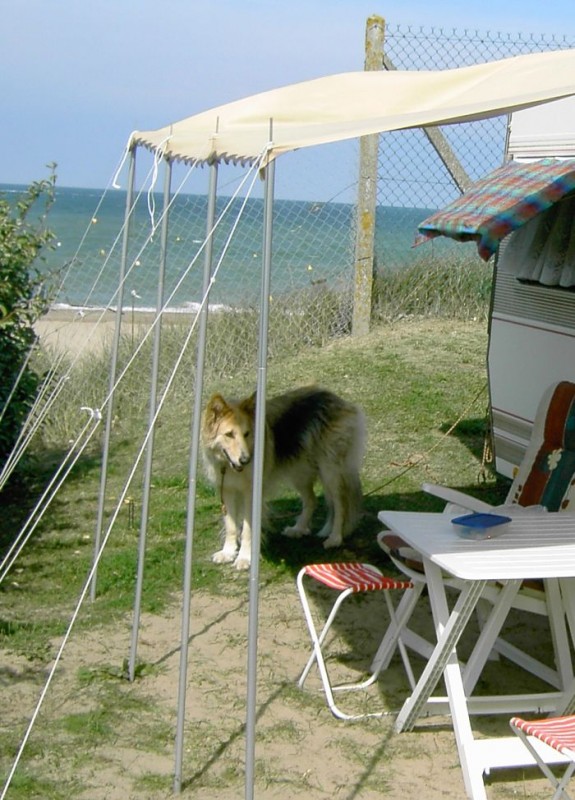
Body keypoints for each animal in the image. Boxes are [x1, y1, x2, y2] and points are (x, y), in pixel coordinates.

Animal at [201, 386, 366, 570]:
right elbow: (230, 525)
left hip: (330, 471)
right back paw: (298, 529)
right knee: (312, 500)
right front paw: (228, 552)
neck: (227, 465)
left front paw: (244, 557)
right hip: (299, 472)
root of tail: (334, 398)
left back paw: (335, 537)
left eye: (247, 434)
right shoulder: (227, 490)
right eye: (229, 434)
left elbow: (247, 530)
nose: (246, 460)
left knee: (340, 504)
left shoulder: (251, 494)